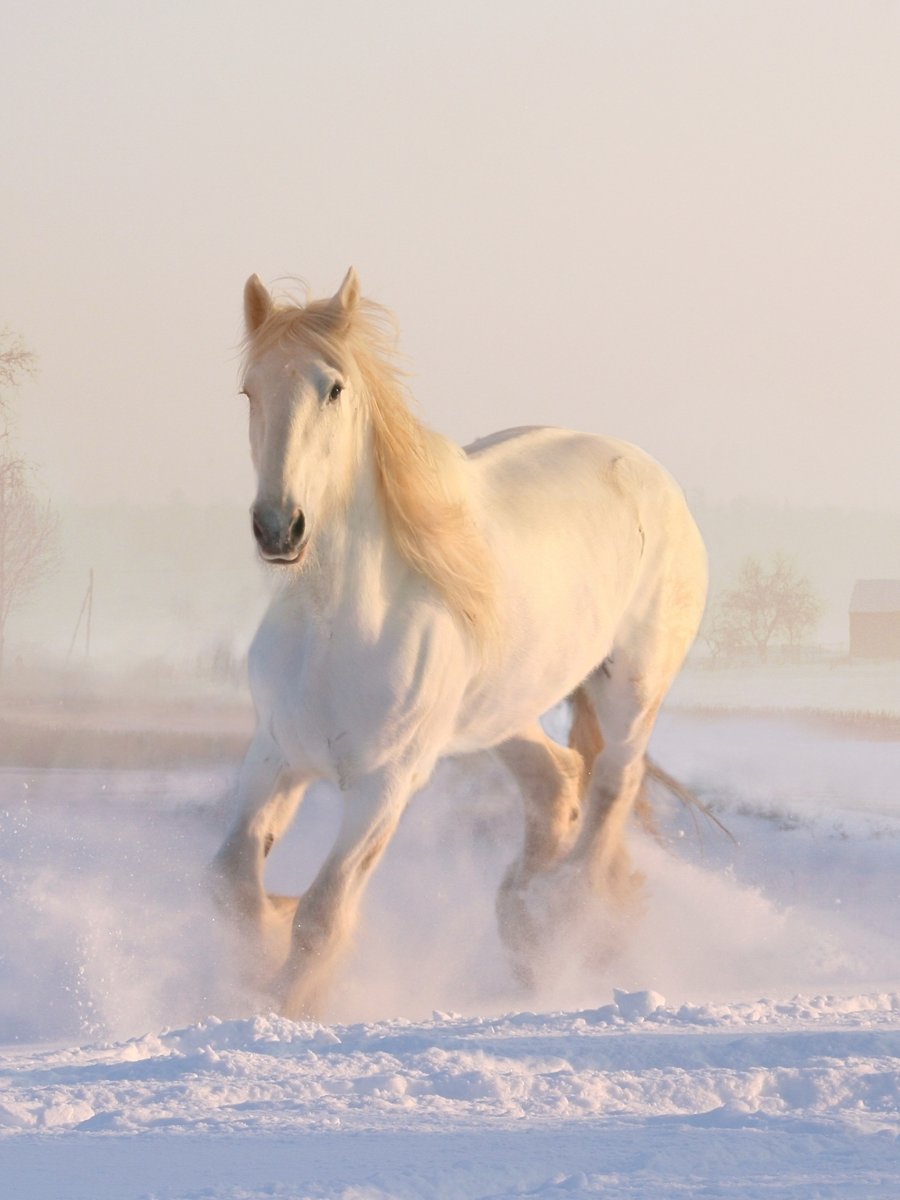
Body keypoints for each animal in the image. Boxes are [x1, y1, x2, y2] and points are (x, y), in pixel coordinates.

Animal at [211, 268, 708, 1018]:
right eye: (249, 390)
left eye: (334, 388)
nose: (279, 527)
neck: (336, 628)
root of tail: (652, 475)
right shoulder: (274, 756)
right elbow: (233, 885)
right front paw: (263, 949)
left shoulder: (386, 784)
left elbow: (323, 915)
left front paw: (287, 1002)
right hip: (502, 712)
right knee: (557, 781)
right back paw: (525, 924)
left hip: (632, 687)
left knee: (611, 788)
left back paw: (565, 918)